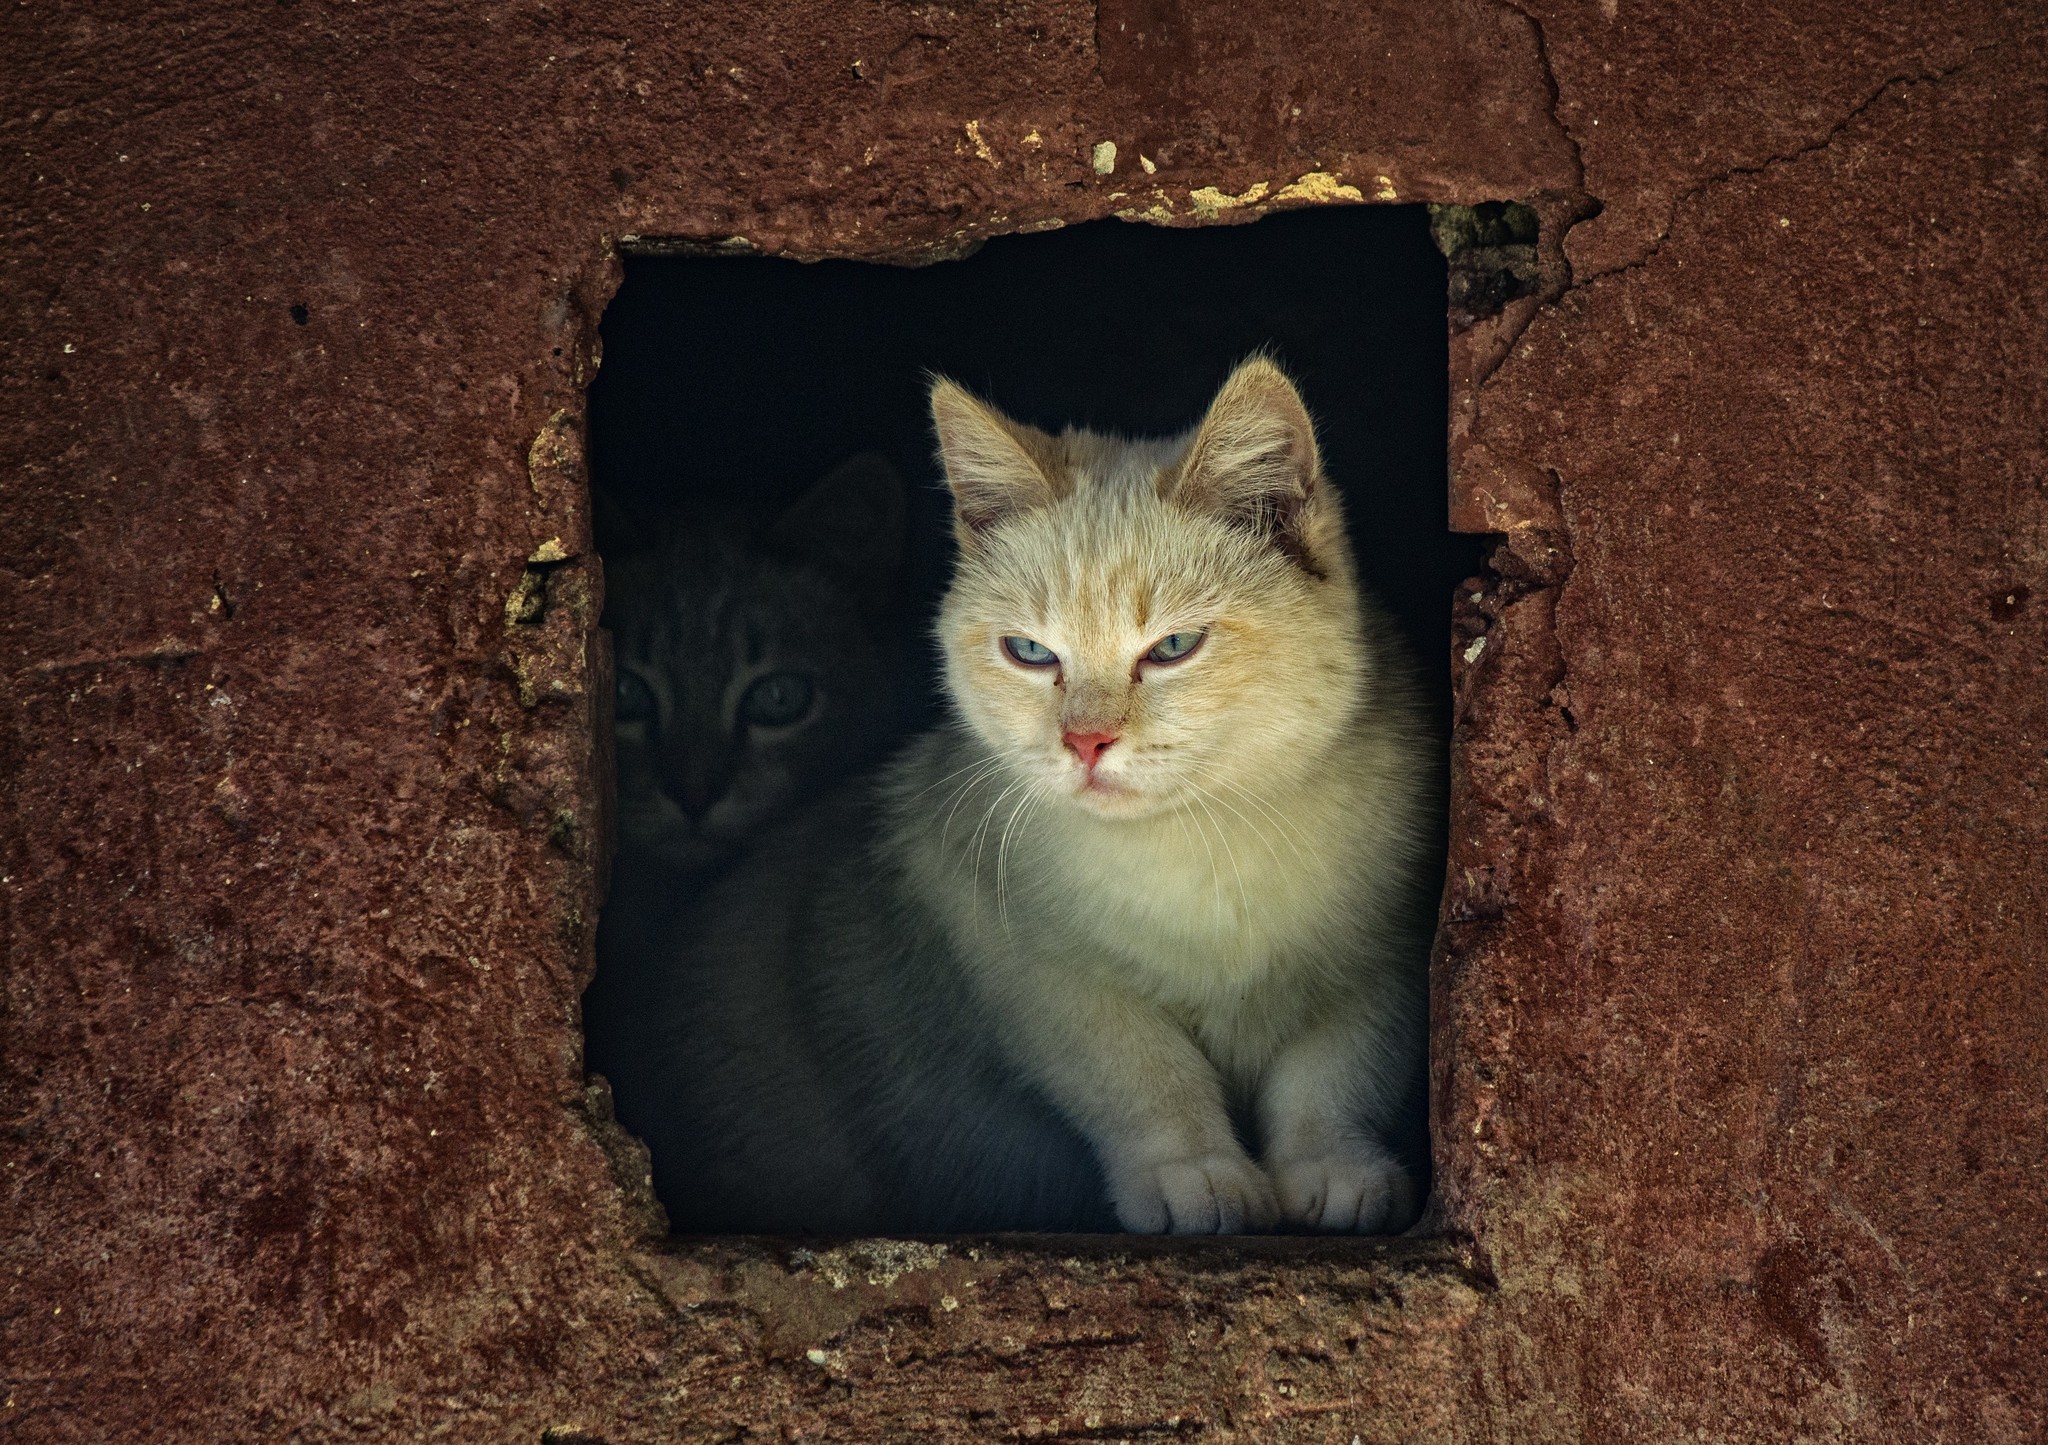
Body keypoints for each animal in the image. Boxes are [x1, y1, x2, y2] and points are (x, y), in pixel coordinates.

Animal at [602, 358, 1441, 1228]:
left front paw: (1334, 1166)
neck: (1198, 847)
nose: (1086, 742)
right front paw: (1194, 1170)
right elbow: (1140, 1069)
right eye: (1031, 653)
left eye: (1174, 646)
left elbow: (1338, 1072)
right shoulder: (1014, 949)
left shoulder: (1389, 956)